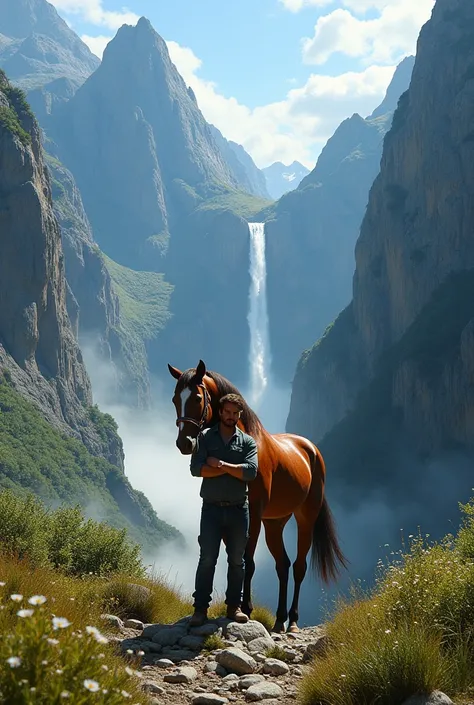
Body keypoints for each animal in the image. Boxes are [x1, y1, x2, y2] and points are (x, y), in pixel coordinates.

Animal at [168, 358, 346, 632]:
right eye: (176, 399)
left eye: (197, 397)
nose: (184, 443)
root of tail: (312, 450)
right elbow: (235, 559)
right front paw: (234, 606)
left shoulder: (252, 513)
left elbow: (247, 561)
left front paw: (245, 608)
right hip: (275, 523)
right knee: (282, 565)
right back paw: (279, 619)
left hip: (305, 518)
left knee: (298, 566)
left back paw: (292, 620)